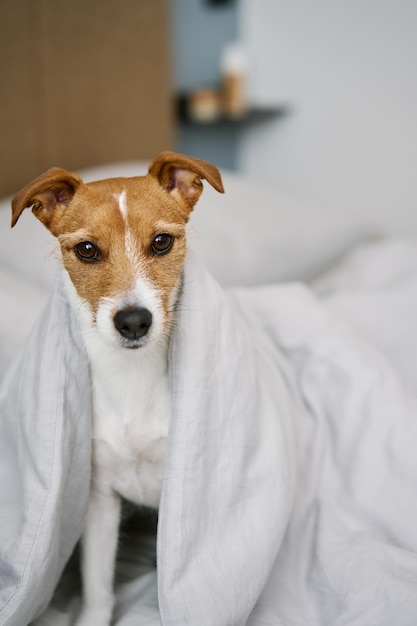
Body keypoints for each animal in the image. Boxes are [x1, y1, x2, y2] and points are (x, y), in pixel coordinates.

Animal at [10, 151, 224, 624]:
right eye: (87, 250)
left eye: (161, 242)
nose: (133, 321)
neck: (131, 378)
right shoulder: (99, 500)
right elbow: (97, 586)